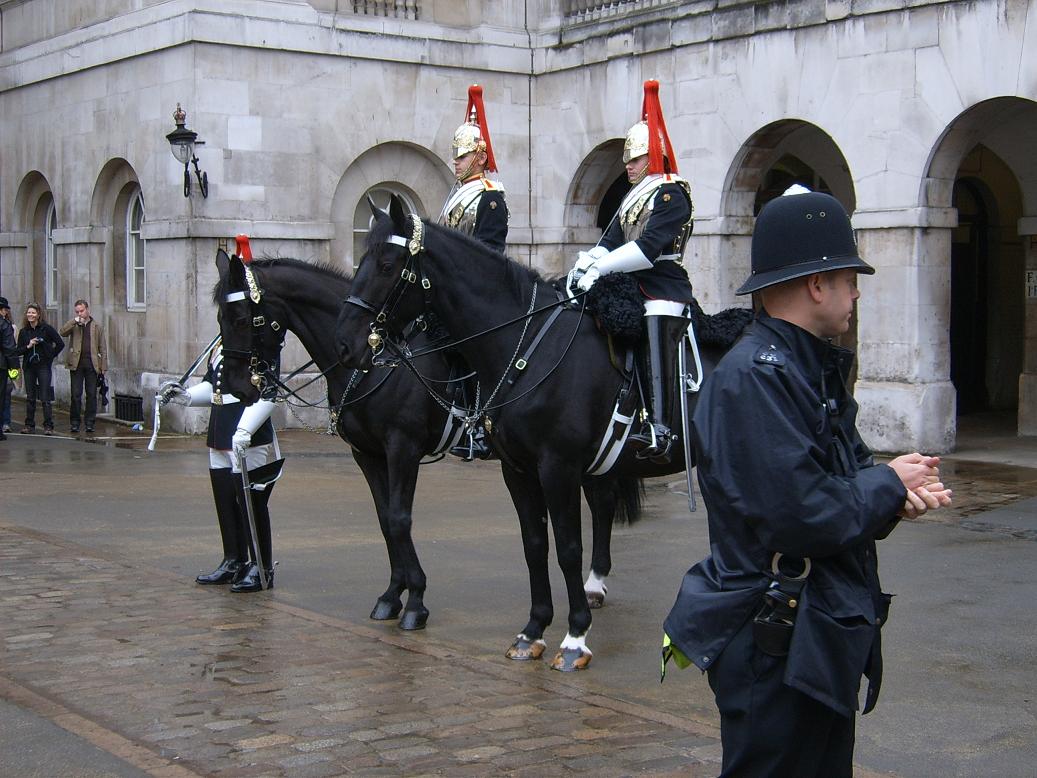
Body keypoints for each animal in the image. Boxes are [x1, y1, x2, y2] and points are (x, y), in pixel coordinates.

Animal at [211, 249, 642, 634]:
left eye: (239, 317)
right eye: (219, 316)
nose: (233, 386)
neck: (375, 362)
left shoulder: (402, 446)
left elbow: (401, 519)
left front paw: (415, 600)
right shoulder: (367, 454)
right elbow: (385, 520)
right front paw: (392, 593)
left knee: (601, 504)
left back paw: (594, 584)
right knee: (603, 501)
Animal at [333, 198, 746, 672]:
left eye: (386, 264)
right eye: (362, 257)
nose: (344, 344)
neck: (527, 344)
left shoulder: (557, 467)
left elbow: (567, 547)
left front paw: (575, 638)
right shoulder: (518, 470)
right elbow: (534, 545)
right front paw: (533, 631)